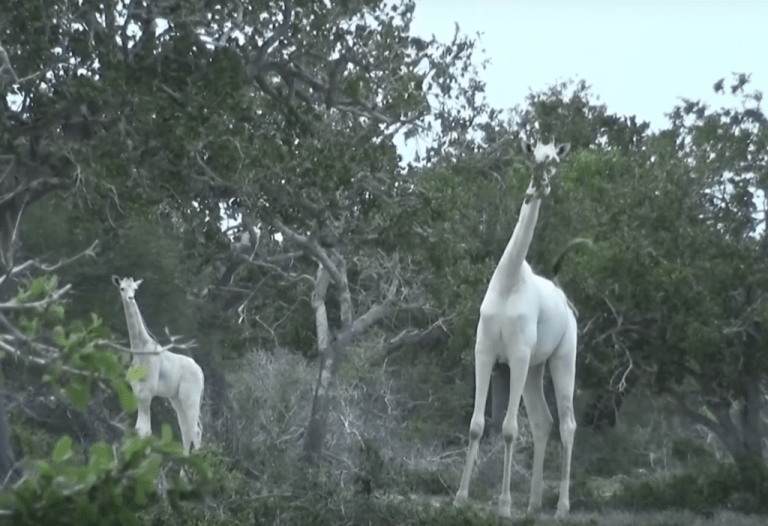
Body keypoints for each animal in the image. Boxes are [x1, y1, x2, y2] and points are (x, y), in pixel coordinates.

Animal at [112, 276, 204, 458]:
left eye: (135, 289)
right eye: (122, 288)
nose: (130, 298)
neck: (140, 350)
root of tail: (200, 371)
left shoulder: (148, 392)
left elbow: (146, 431)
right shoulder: (137, 391)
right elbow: (139, 429)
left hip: (191, 396)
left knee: (195, 431)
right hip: (176, 398)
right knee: (185, 430)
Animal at [454, 138, 577, 519]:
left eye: (554, 162)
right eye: (533, 157)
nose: (542, 184)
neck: (509, 281)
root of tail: (568, 305)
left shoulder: (518, 355)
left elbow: (508, 429)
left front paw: (504, 505)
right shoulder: (484, 351)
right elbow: (477, 425)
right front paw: (460, 497)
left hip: (563, 359)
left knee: (567, 424)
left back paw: (561, 508)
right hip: (537, 368)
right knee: (543, 421)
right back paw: (534, 505)